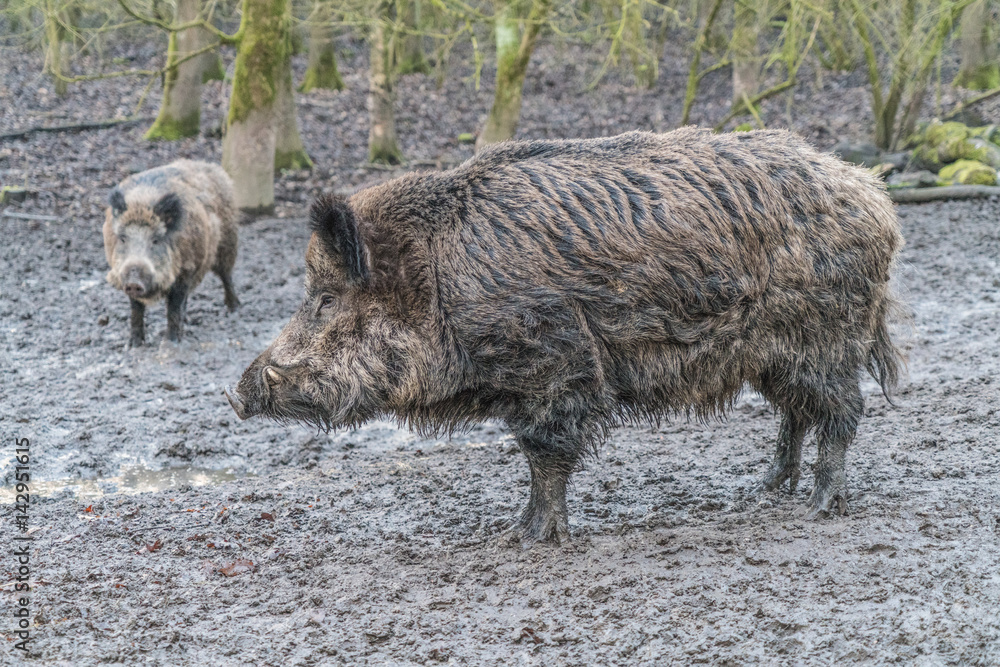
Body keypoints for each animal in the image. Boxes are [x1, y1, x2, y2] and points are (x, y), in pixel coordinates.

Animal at [103, 160, 239, 346]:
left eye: (155, 240)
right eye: (123, 238)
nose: (134, 280)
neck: (141, 202)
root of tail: (212, 167)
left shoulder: (185, 270)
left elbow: (173, 307)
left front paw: (171, 342)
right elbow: (136, 309)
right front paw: (133, 345)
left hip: (227, 240)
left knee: (226, 275)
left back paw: (234, 309)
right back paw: (188, 321)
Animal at [225, 128, 903, 544]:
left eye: (326, 299)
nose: (236, 392)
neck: (437, 282)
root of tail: (874, 196)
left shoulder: (554, 362)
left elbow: (544, 450)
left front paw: (526, 538)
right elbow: (531, 455)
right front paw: (515, 530)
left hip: (825, 336)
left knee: (843, 409)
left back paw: (820, 506)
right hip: (775, 354)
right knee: (797, 411)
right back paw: (763, 489)